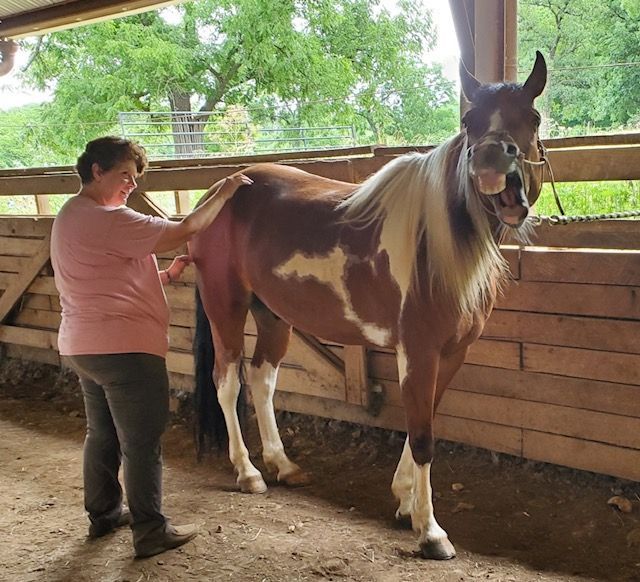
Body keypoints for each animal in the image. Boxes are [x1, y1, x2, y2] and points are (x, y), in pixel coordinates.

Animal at [190, 52, 548, 560]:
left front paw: (404, 501)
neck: (436, 240)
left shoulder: (450, 355)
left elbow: (424, 422)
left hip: (274, 316)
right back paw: (249, 472)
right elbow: (423, 437)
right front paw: (430, 531)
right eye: (469, 121)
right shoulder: (417, 352)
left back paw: (284, 465)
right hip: (227, 306)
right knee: (227, 382)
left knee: (261, 379)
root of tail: (218, 191)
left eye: (532, 117)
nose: (492, 166)